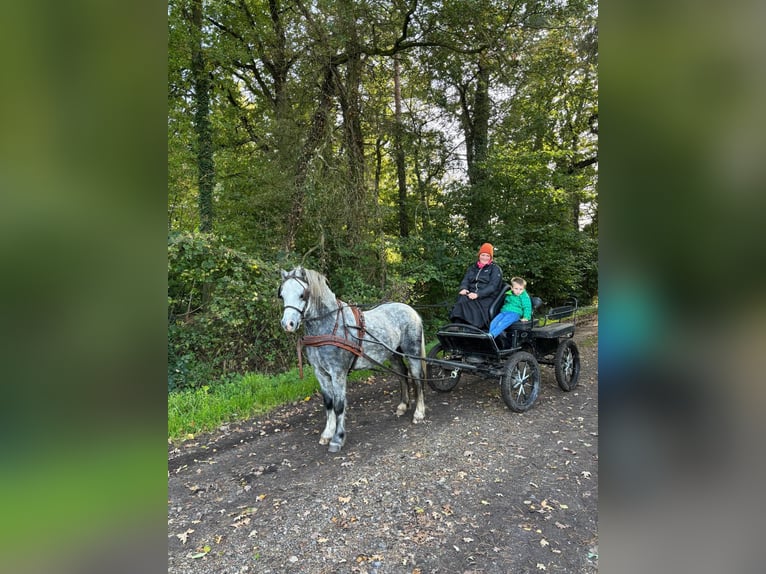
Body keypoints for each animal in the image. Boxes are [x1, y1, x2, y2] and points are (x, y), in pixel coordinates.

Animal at [280, 268, 428, 454]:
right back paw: (402, 406)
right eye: (282, 295)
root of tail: (411, 310)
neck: (329, 327)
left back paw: (419, 413)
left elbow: (339, 405)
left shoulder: (338, 372)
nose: (288, 324)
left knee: (417, 379)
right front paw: (327, 433)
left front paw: (337, 438)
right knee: (402, 374)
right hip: (393, 354)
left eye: (302, 294)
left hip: (413, 353)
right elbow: (328, 403)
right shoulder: (320, 373)